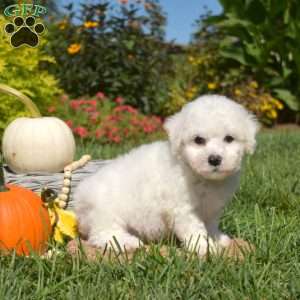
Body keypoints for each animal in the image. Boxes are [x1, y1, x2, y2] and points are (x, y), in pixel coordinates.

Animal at [74, 95, 258, 255]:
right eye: (198, 140)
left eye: (229, 138)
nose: (214, 159)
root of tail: (80, 198)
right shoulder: (183, 208)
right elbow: (194, 228)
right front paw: (204, 247)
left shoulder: (212, 208)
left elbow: (211, 225)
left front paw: (217, 238)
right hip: (105, 212)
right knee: (102, 234)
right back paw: (127, 242)